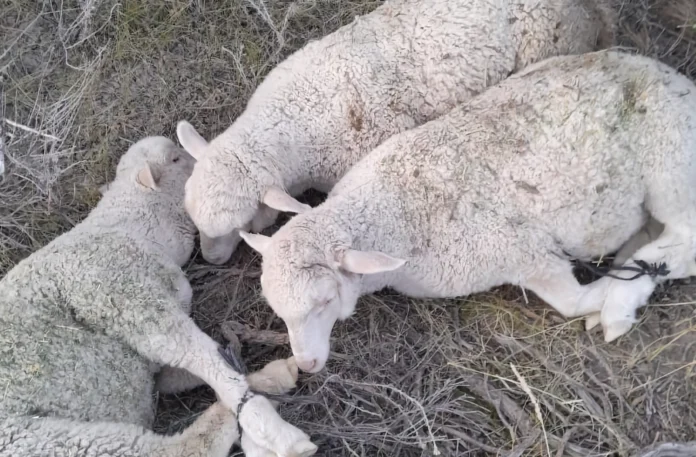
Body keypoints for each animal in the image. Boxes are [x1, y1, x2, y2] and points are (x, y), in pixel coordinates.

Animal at [0, 137, 317, 456]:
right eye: (175, 159)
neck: (132, 229)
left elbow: (198, 365)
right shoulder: (128, 298)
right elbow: (202, 358)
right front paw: (270, 426)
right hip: (46, 440)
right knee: (179, 448)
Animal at [238, 50, 696, 372]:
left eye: (323, 302)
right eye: (277, 310)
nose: (306, 364)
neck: (395, 214)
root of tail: (674, 76)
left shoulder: (524, 253)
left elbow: (573, 302)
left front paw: (611, 301)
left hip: (672, 166)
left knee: (684, 242)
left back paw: (623, 299)